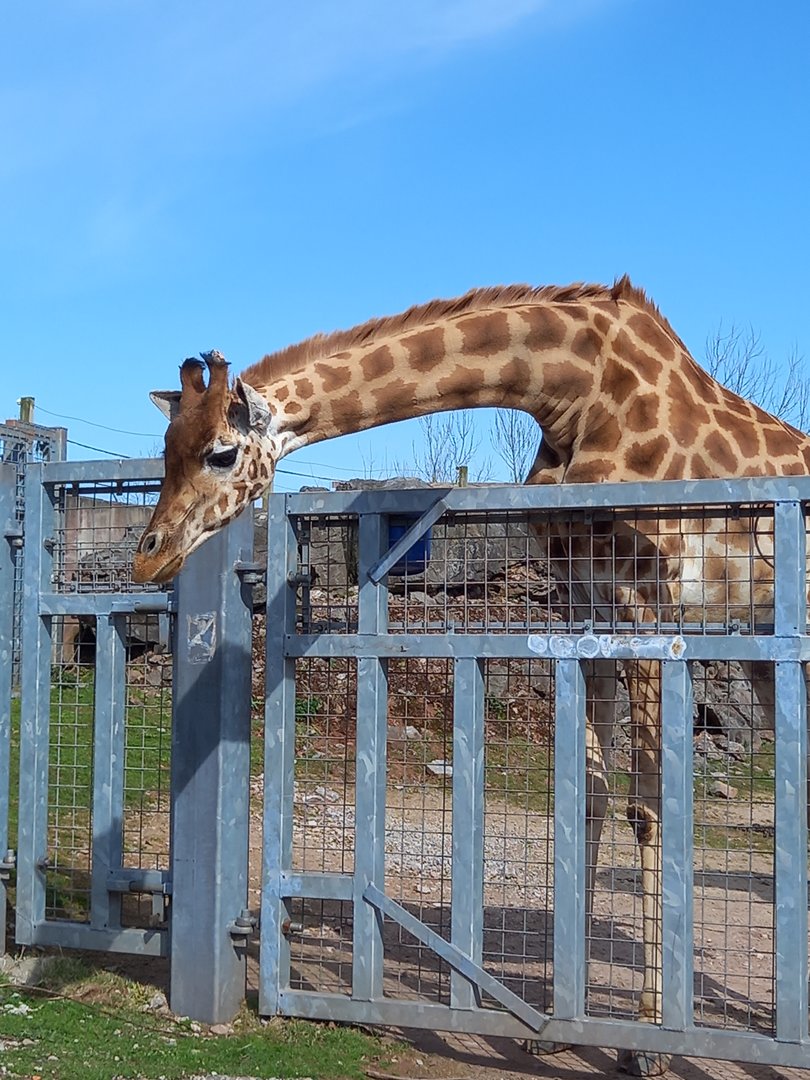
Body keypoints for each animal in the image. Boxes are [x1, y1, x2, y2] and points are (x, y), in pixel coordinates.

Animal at [133, 277, 810, 1074]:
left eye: (221, 452)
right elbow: (589, 796)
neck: (573, 391)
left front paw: (649, 1039)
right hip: (763, 641)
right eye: (165, 450)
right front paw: (568, 1019)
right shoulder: (583, 599)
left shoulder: (651, 603)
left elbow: (649, 808)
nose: (147, 556)